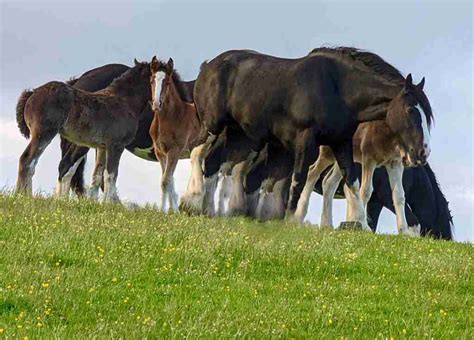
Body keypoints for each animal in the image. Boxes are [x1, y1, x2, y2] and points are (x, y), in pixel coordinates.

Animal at [148, 56, 200, 210]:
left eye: (167, 82)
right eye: (151, 80)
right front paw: (167, 210)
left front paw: (172, 211)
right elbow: (167, 180)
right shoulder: (160, 153)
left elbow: (166, 181)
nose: (156, 104)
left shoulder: (174, 151)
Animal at [187, 47, 432, 228]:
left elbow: (352, 182)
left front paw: (359, 223)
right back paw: (191, 200)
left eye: (427, 114)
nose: (423, 152)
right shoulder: (305, 142)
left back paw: (206, 210)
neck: (337, 88)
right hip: (213, 126)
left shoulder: (341, 143)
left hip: (238, 135)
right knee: (197, 153)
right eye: (411, 111)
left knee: (212, 164)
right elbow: (298, 180)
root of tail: (207, 67)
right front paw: (291, 220)